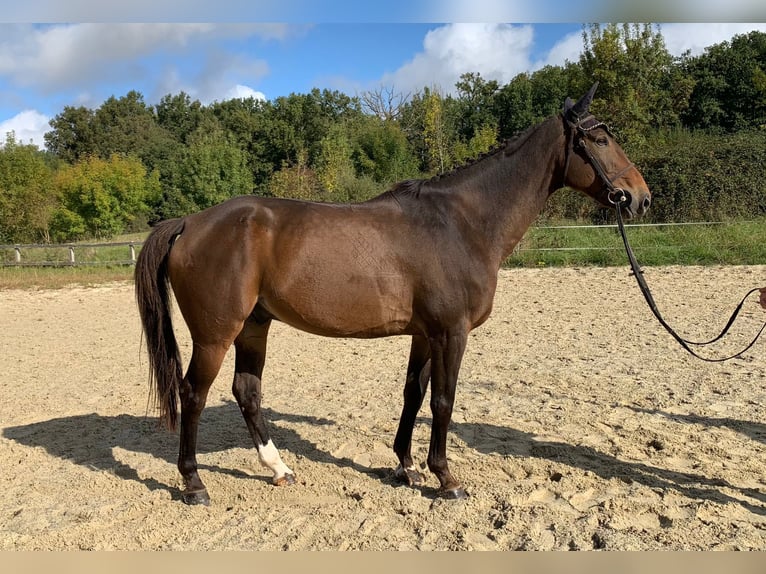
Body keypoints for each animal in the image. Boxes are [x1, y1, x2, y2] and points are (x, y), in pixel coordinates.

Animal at [135, 83, 652, 506]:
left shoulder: (425, 334)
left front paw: (405, 466)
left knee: (247, 392)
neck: (462, 223)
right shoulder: (451, 333)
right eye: (600, 140)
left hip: (253, 327)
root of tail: (189, 223)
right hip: (215, 335)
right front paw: (446, 478)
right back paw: (194, 483)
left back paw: (279, 469)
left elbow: (413, 394)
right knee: (193, 393)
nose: (640, 197)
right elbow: (443, 400)